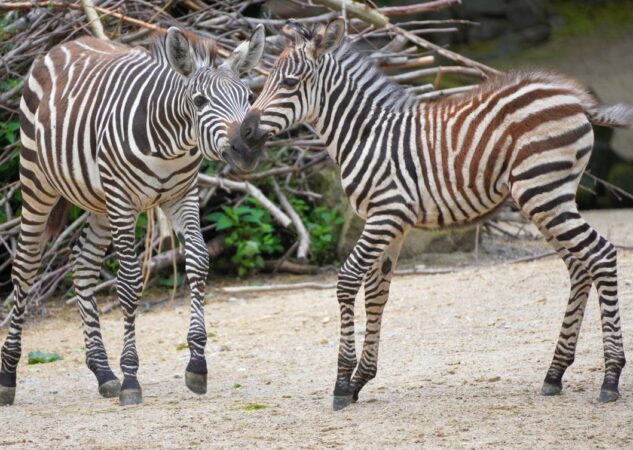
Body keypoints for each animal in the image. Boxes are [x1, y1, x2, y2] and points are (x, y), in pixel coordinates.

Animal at [0, 26, 266, 406]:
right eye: (200, 101)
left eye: (248, 97)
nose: (246, 151)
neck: (170, 144)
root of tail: (64, 44)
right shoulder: (123, 201)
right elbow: (128, 282)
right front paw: (131, 378)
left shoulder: (183, 196)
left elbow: (199, 262)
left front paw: (197, 365)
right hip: (39, 182)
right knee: (24, 267)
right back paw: (9, 376)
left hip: (99, 203)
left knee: (83, 266)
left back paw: (103, 372)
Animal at [241, 19, 632, 410]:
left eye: (289, 83)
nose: (243, 132)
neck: (365, 136)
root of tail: (576, 99)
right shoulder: (391, 223)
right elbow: (377, 293)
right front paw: (360, 380)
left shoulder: (386, 215)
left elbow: (348, 280)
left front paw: (341, 382)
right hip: (548, 198)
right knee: (579, 266)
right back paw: (554, 373)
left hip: (543, 192)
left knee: (601, 254)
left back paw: (610, 378)